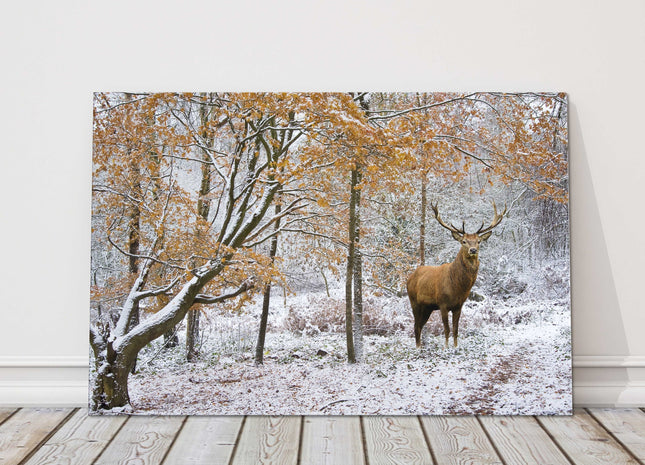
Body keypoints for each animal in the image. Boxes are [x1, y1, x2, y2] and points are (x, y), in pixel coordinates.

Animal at [407, 201, 507, 349]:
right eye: (464, 241)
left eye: (478, 241)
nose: (473, 250)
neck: (458, 287)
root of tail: (409, 278)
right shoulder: (442, 303)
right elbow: (447, 329)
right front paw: (446, 347)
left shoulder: (459, 305)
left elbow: (456, 329)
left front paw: (455, 346)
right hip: (414, 301)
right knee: (415, 325)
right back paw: (418, 347)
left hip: (427, 307)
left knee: (420, 325)